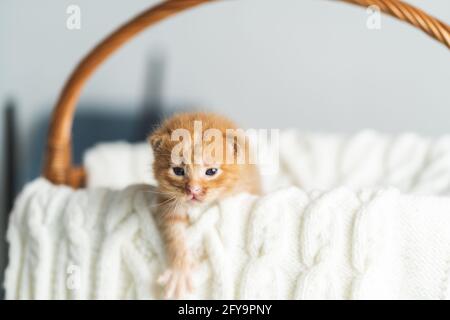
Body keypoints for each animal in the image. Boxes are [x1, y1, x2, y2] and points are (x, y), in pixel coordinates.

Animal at [149, 112, 260, 298]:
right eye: (178, 171)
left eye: (211, 171)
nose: (193, 190)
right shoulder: (169, 204)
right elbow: (174, 233)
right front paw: (180, 270)